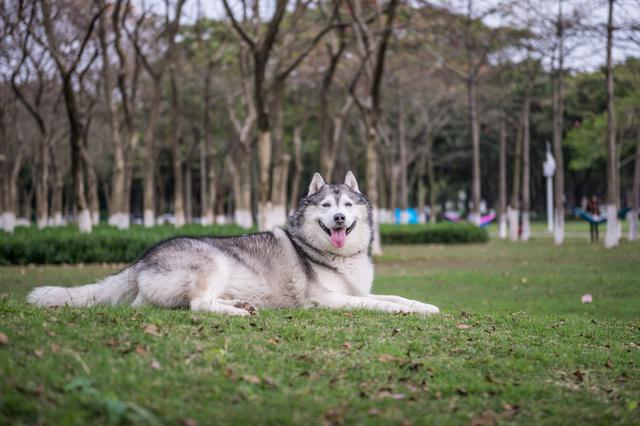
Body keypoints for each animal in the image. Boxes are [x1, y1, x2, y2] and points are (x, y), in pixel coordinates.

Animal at [28, 171, 440, 314]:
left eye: (348, 205)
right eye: (326, 206)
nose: (339, 219)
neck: (331, 254)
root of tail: (143, 259)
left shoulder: (360, 289)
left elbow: (394, 296)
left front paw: (425, 306)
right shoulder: (327, 300)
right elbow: (378, 305)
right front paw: (405, 311)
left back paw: (241, 304)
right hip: (213, 261)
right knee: (198, 306)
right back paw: (238, 311)